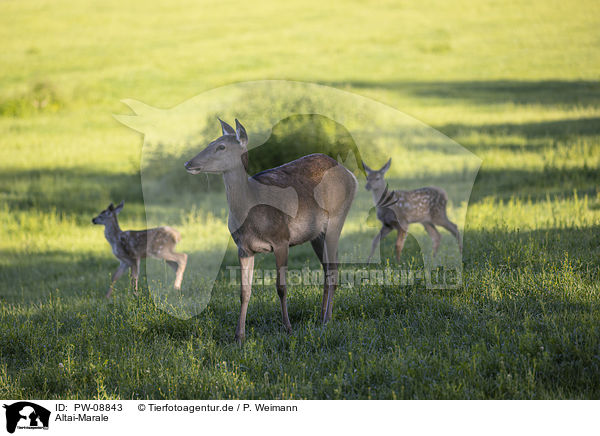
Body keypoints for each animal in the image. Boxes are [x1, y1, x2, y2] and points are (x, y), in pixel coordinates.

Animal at [184, 120, 356, 344]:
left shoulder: (282, 239)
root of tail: (351, 175)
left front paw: (288, 328)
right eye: (211, 142)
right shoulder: (243, 248)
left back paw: (327, 319)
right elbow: (244, 291)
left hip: (337, 218)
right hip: (316, 235)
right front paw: (239, 336)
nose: (188, 163)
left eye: (221, 147)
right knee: (328, 268)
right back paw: (320, 316)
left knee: (334, 269)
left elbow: (281, 287)